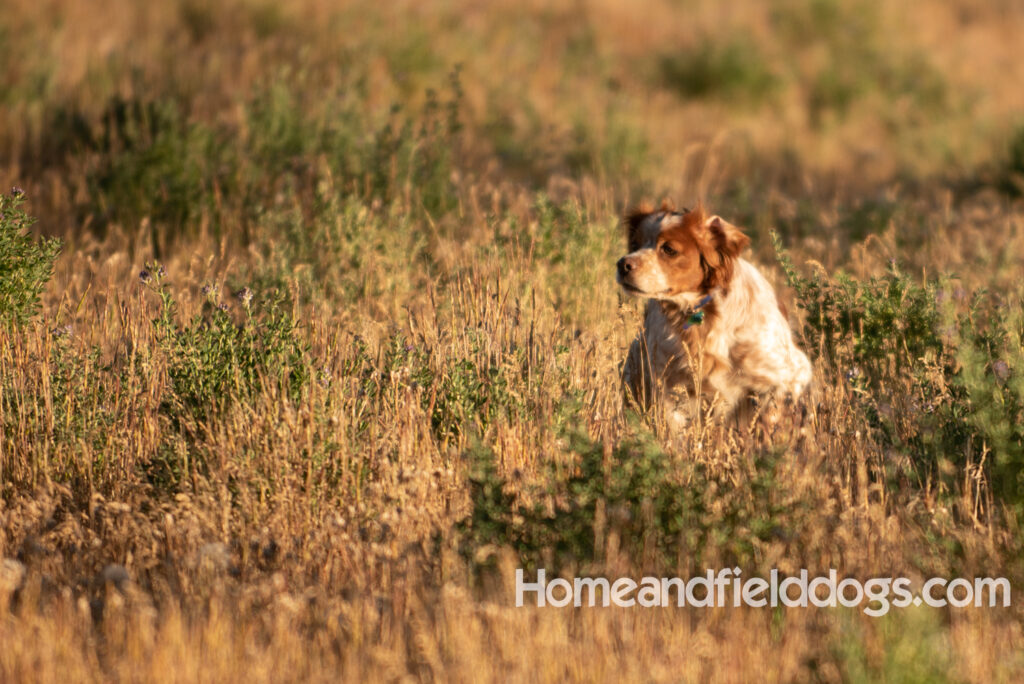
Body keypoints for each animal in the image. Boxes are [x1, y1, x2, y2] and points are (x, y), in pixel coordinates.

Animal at [614, 201, 815, 428]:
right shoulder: (668, 385)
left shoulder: (791, 375)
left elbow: (771, 416)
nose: (622, 265)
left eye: (669, 249)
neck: (702, 314)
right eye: (635, 245)